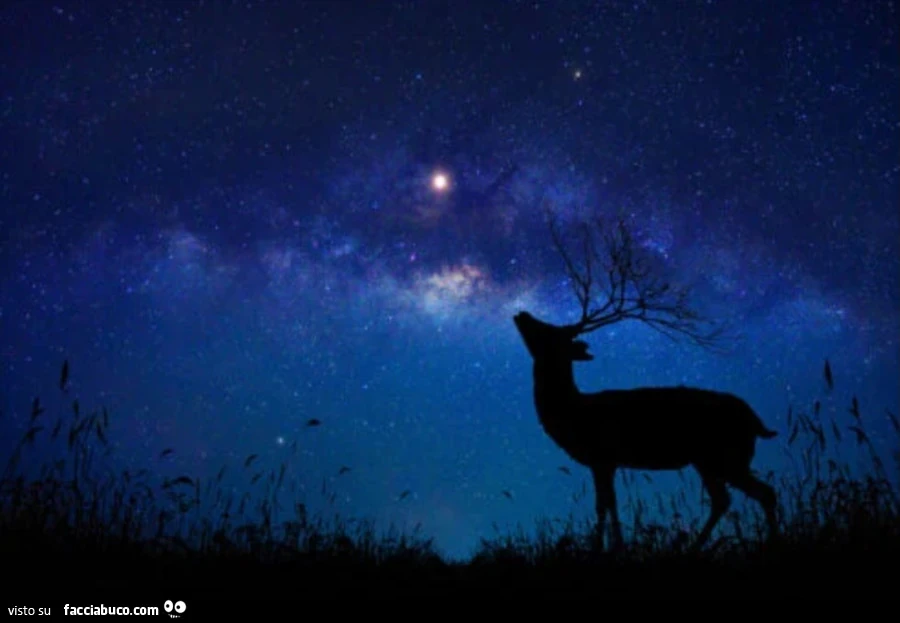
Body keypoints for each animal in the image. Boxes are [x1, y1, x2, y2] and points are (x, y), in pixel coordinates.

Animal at [512, 210, 779, 552]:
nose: (522, 313)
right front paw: (614, 546)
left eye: (551, 334)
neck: (572, 415)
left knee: (759, 493)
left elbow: (604, 505)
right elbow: (609, 503)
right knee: (728, 498)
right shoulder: (606, 462)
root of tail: (756, 421)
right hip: (709, 459)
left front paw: (604, 548)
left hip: (725, 454)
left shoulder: (602, 455)